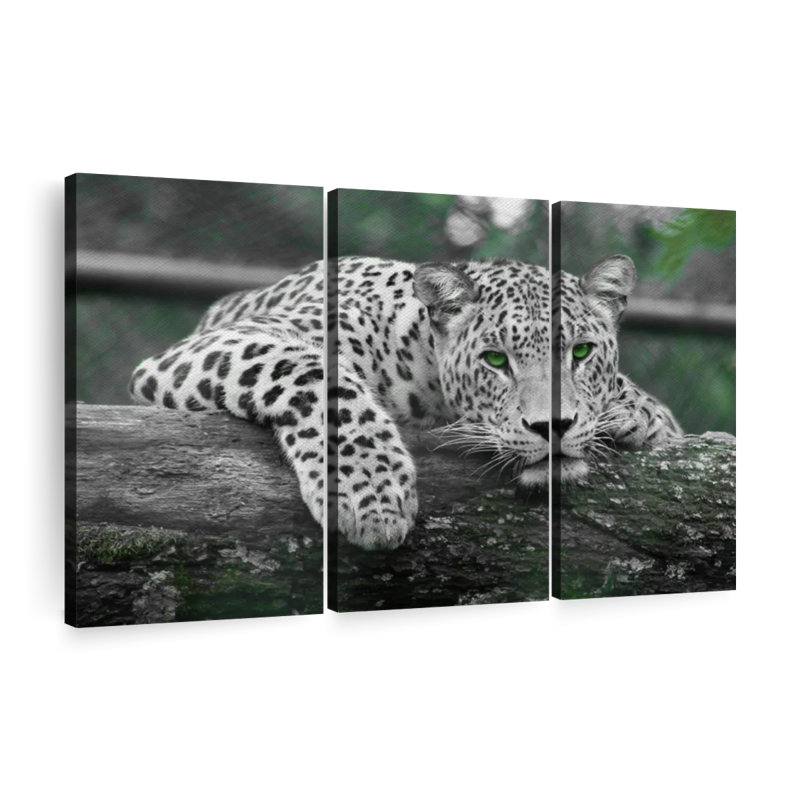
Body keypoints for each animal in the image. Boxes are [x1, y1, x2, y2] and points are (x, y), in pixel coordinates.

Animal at [130, 253, 680, 552]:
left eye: (581, 352)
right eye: (495, 359)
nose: (554, 426)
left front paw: (640, 413)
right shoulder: (223, 343)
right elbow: (317, 374)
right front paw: (372, 493)